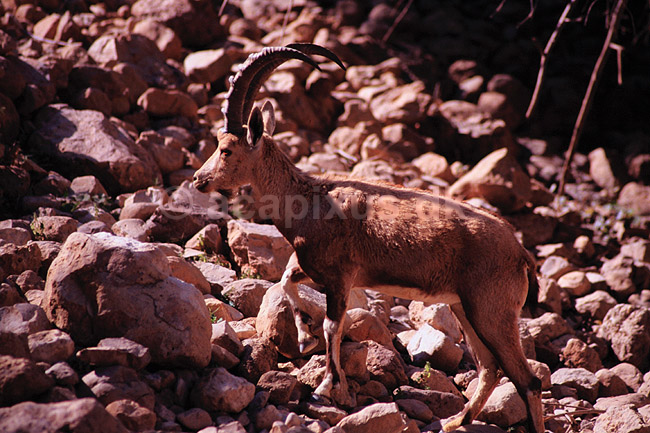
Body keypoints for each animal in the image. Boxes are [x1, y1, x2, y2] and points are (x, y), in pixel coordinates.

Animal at [193, 44, 544, 433]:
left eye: (226, 149)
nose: (198, 180)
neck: (309, 200)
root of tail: (521, 254)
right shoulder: (313, 268)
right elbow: (285, 282)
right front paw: (304, 336)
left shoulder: (340, 278)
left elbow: (333, 326)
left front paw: (333, 387)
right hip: (464, 308)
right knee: (489, 368)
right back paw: (456, 420)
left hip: (492, 312)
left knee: (528, 380)